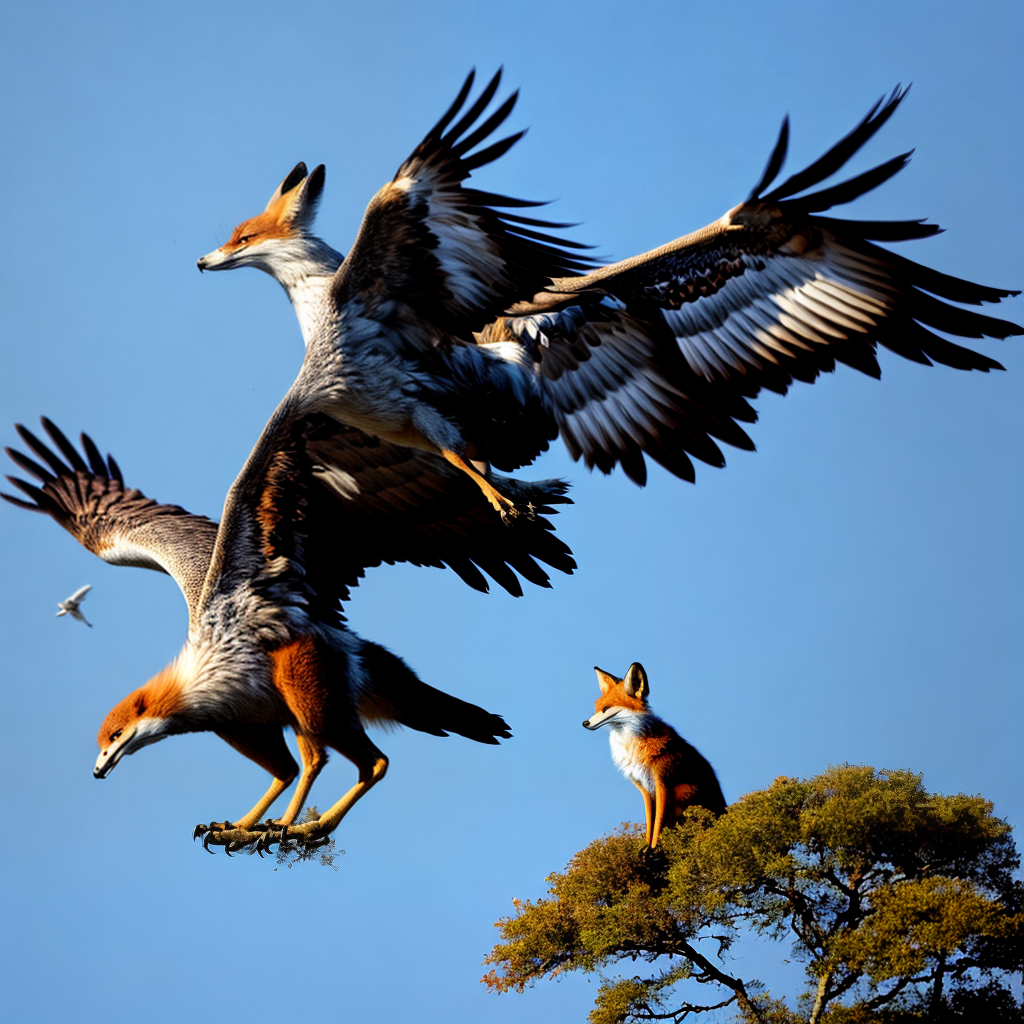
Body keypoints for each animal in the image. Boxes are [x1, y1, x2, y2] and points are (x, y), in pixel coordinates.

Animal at [583, 663, 726, 848]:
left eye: (606, 708)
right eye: (596, 708)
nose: (585, 723)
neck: (633, 747)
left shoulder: (662, 783)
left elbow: (658, 824)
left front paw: (655, 849)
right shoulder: (644, 788)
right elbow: (650, 825)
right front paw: (646, 848)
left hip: (685, 792)